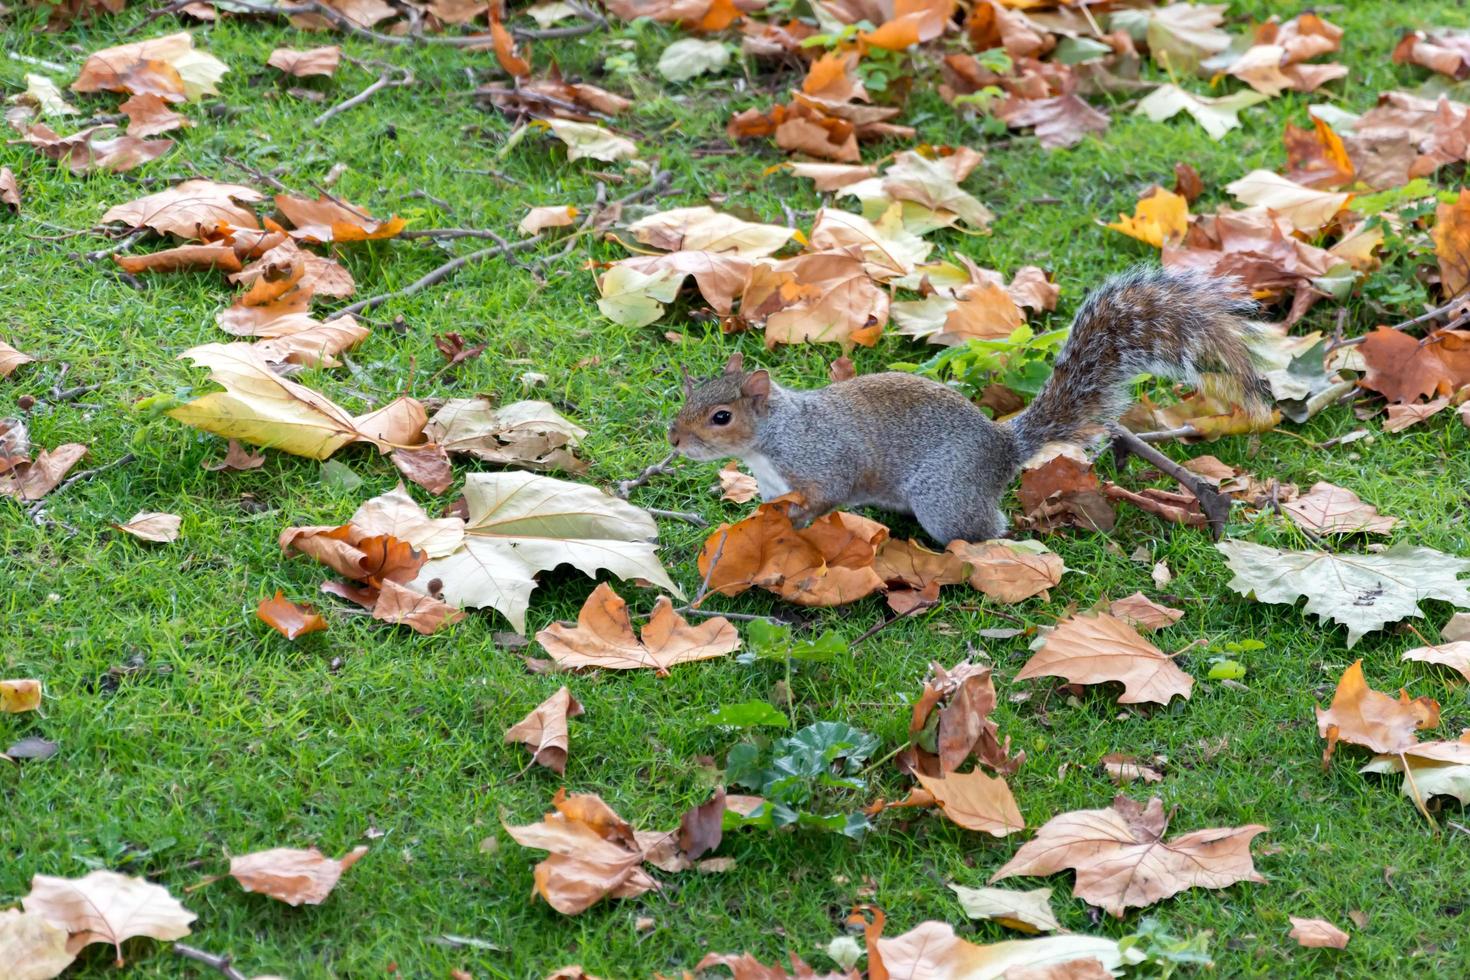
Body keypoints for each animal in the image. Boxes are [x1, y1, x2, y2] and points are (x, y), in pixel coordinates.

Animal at [670, 265, 1275, 543]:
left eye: (721, 417)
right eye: (690, 395)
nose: (674, 439)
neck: (772, 439)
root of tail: (1003, 447)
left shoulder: (825, 462)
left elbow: (828, 495)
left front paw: (798, 525)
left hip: (945, 497)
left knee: (989, 531)